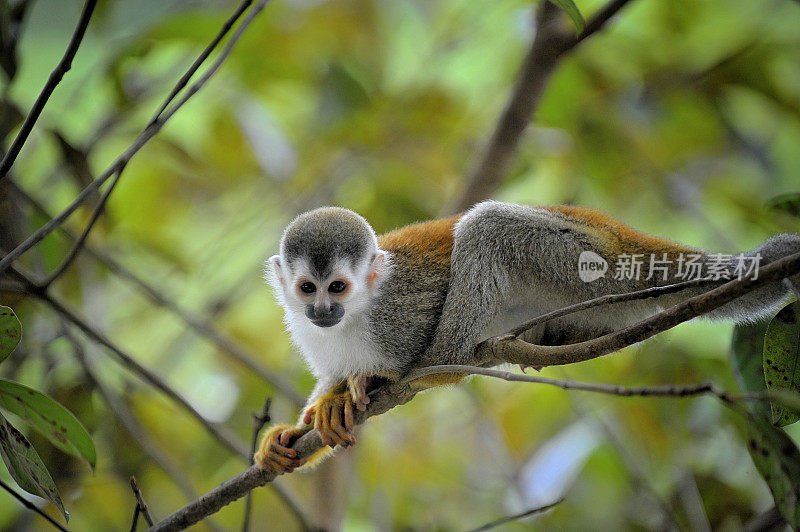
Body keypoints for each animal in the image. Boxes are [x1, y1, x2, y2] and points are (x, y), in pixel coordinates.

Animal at [256, 202, 800, 472]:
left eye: (338, 287)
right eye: (307, 288)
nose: (321, 311)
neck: (355, 315)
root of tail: (616, 232)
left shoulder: (398, 315)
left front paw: (367, 383)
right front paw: (303, 425)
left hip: (580, 258)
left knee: (487, 226)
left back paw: (438, 367)